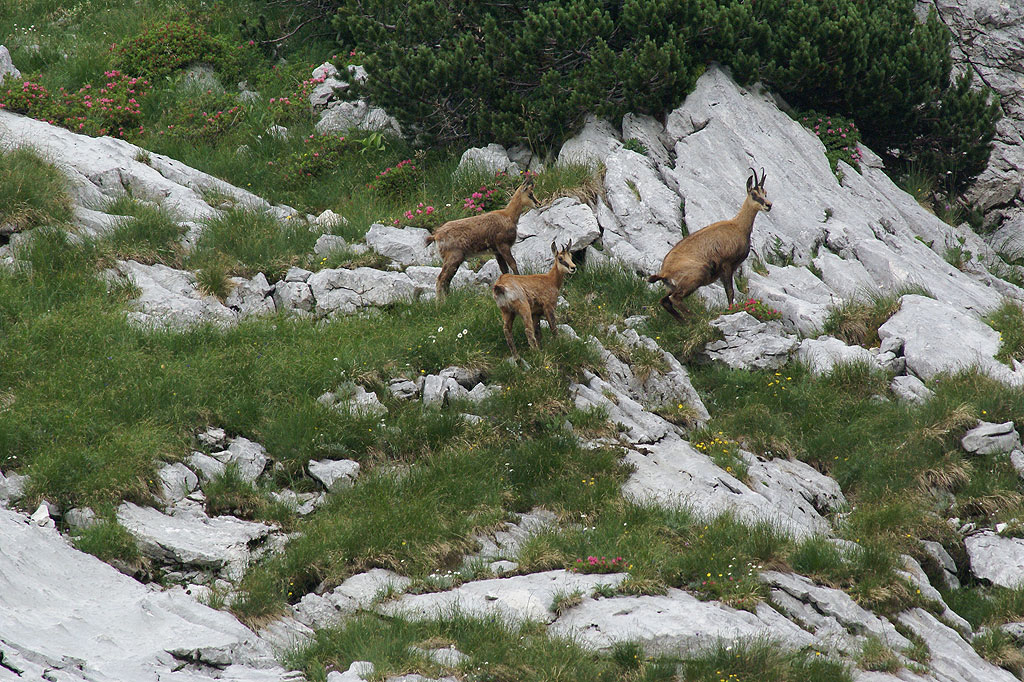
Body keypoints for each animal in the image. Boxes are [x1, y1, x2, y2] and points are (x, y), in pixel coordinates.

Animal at [651, 168, 770, 319]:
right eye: (754, 194)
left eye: (765, 193)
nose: (768, 205)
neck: (738, 226)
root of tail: (664, 272)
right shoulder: (727, 265)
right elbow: (730, 291)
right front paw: (731, 310)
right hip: (696, 276)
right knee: (674, 299)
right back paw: (695, 318)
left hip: (673, 286)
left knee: (665, 301)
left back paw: (686, 321)